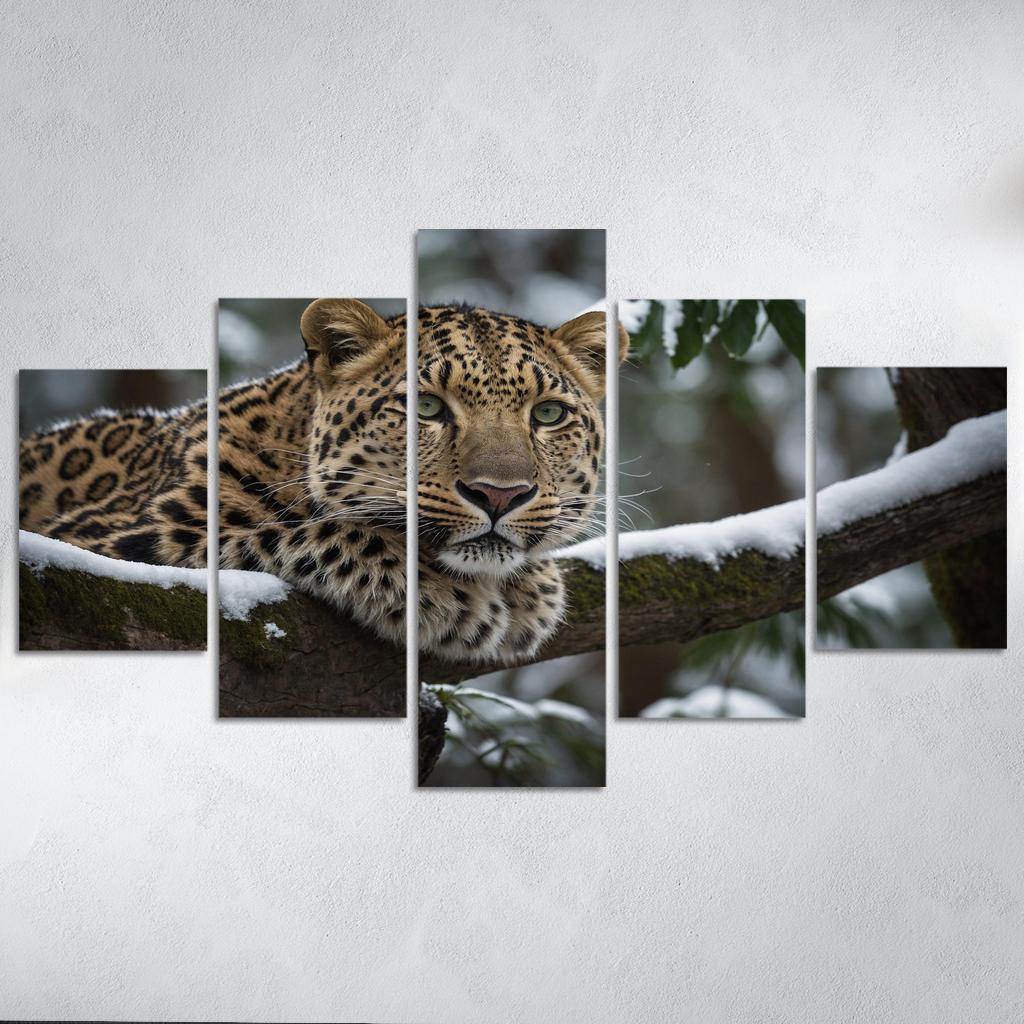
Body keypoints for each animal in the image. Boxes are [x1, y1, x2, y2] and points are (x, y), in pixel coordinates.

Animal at [19, 299, 627, 664]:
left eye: (548, 414)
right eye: (427, 407)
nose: (500, 495)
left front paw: (532, 587)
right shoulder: (111, 543)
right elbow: (301, 530)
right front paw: (447, 595)